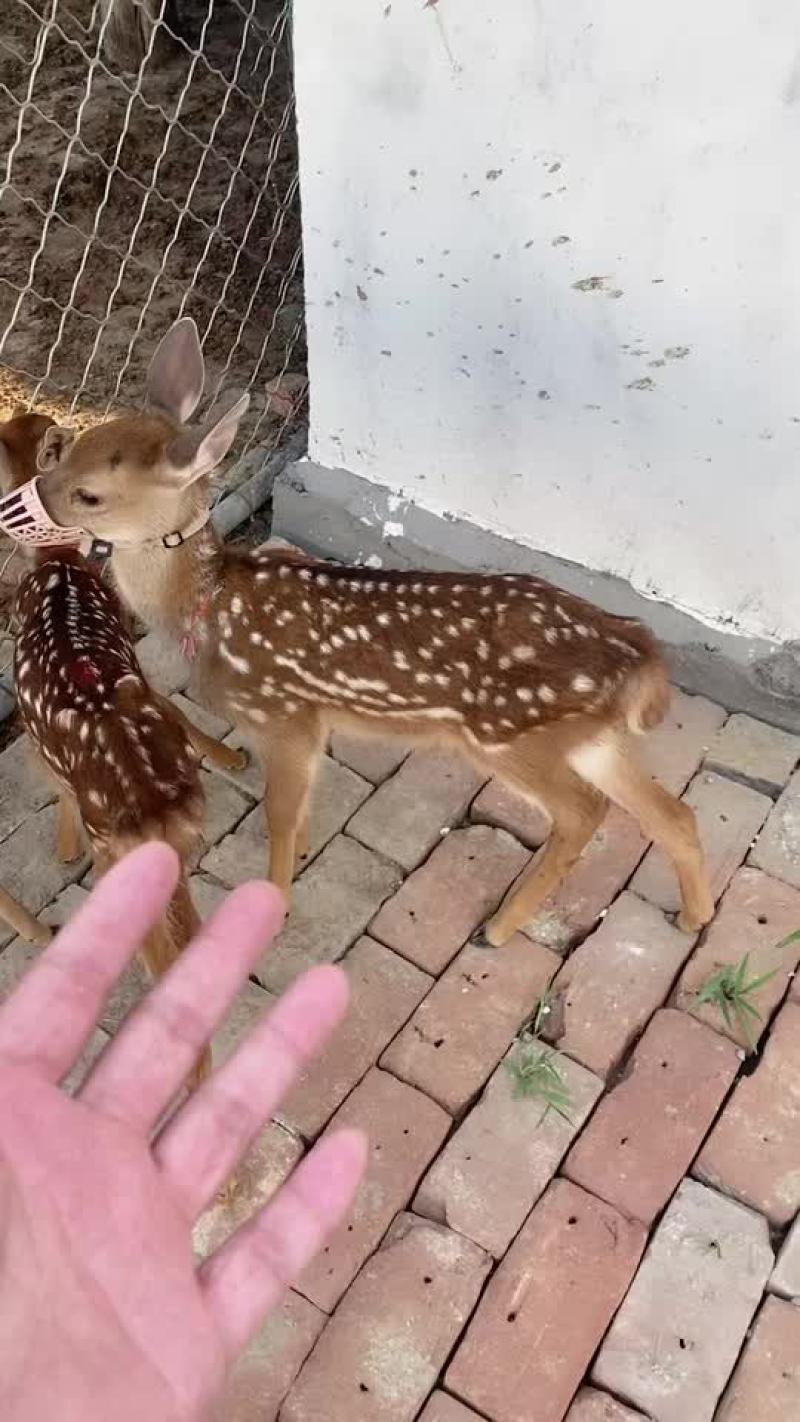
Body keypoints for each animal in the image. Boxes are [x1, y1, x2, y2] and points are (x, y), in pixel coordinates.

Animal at [0, 320, 715, 949]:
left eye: (90, 494)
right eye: (68, 449)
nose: (29, 499)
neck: (209, 607)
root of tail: (636, 653)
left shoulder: (285, 716)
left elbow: (278, 814)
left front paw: (275, 906)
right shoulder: (314, 724)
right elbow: (301, 807)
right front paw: (302, 859)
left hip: (510, 737)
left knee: (584, 815)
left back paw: (499, 930)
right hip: (585, 738)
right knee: (673, 812)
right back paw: (694, 917)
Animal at [0, 409, 251, 1085]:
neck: (57, 561)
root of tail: (153, 810)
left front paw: (61, 848)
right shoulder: (135, 667)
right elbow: (172, 701)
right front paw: (231, 756)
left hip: (117, 854)